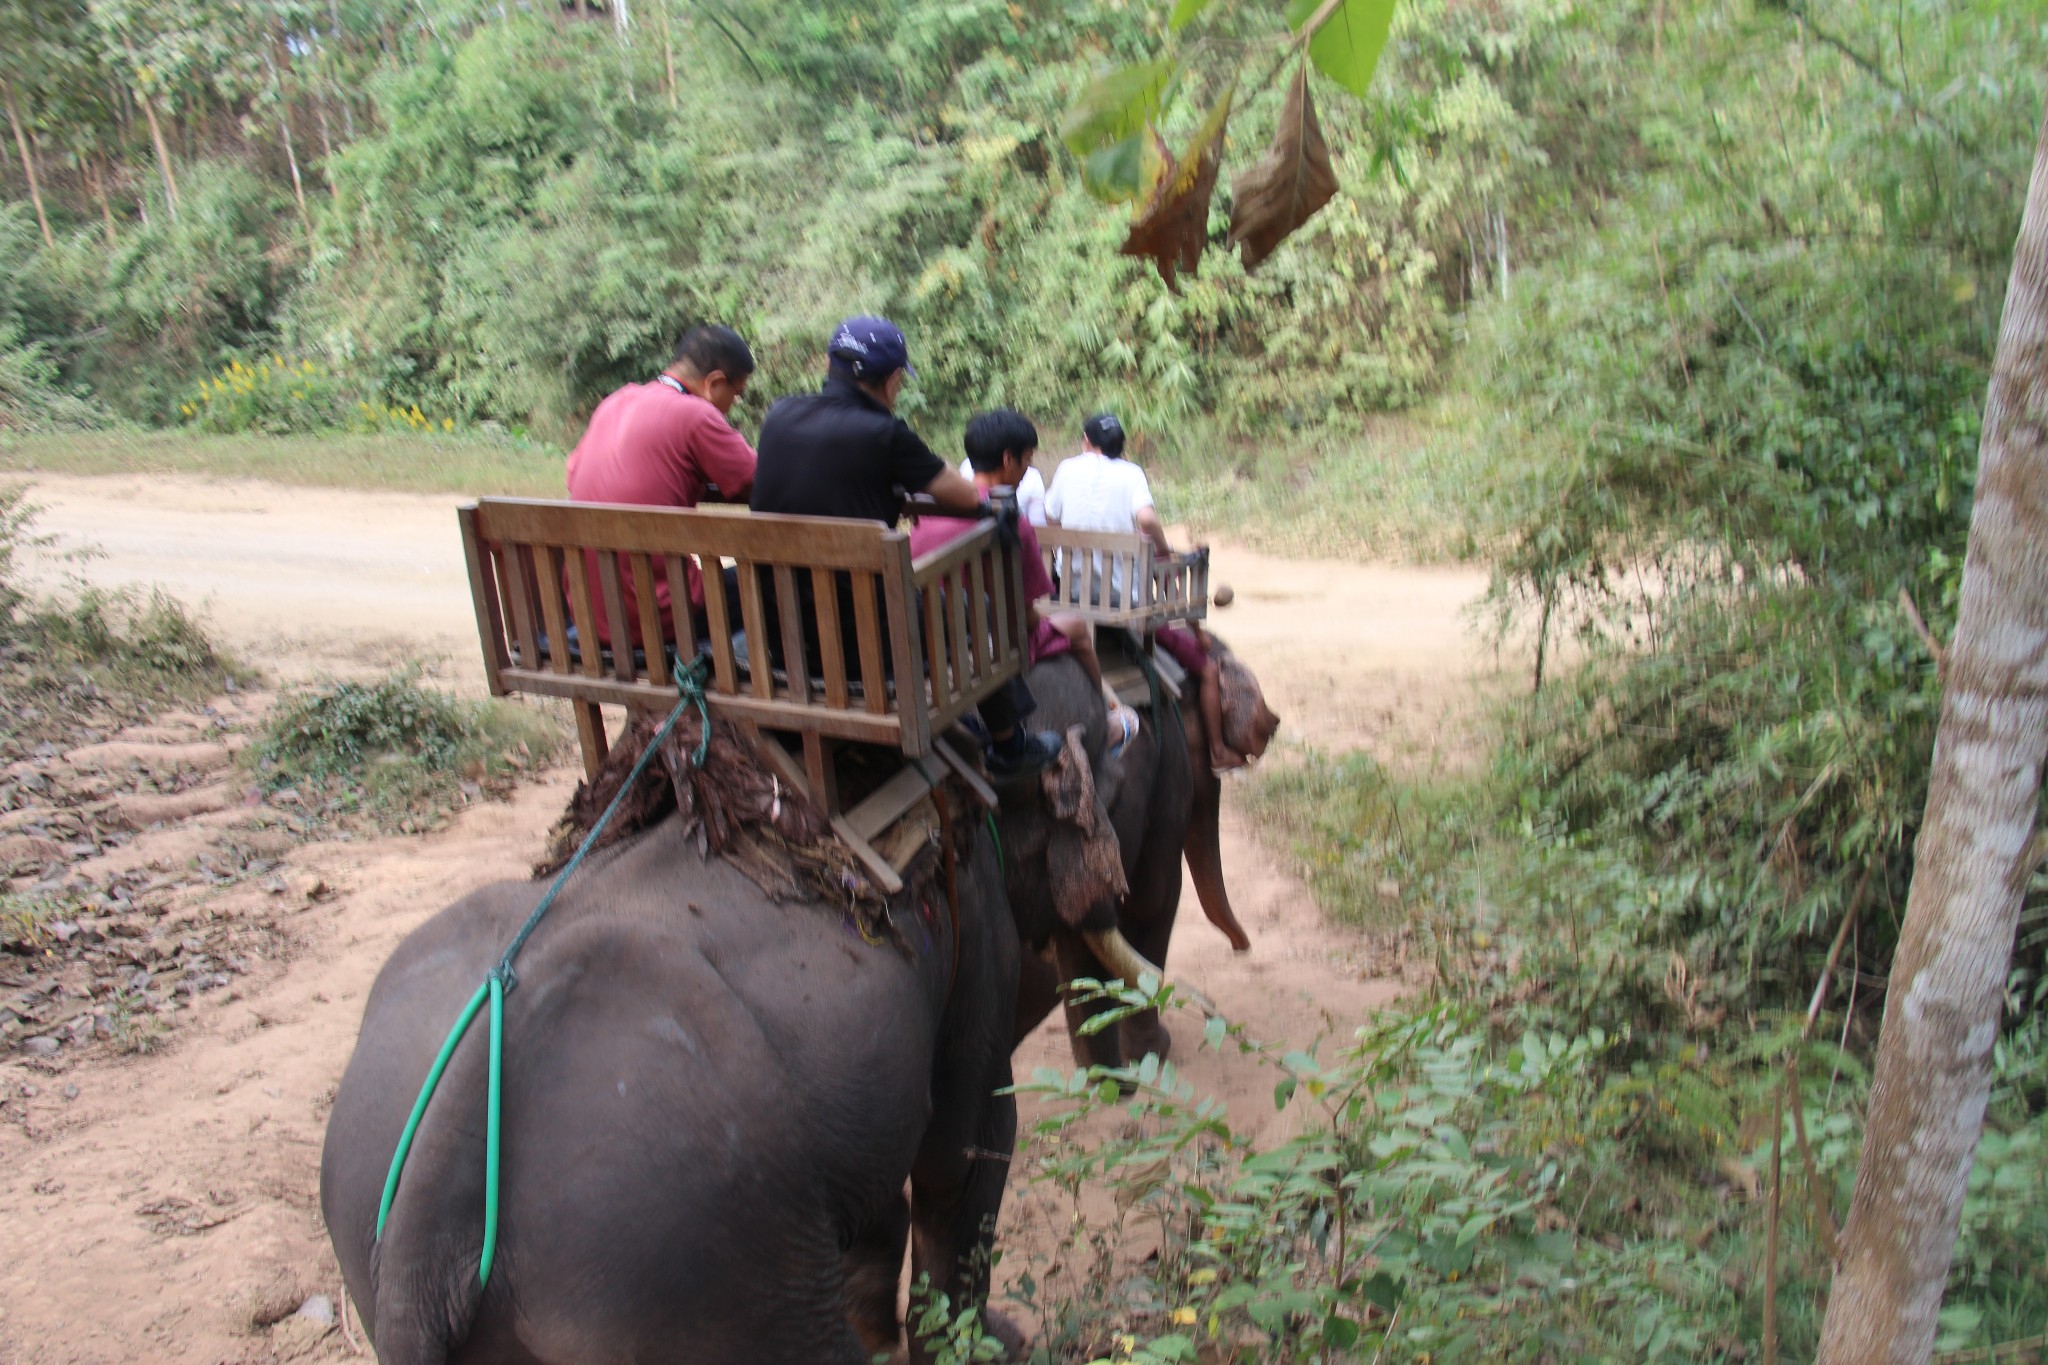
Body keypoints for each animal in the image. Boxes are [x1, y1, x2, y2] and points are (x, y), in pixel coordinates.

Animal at [321, 716, 1155, 1365]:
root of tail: (421, 1234)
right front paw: (998, 1342)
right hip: (699, 1256)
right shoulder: (968, 913)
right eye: (1106, 795)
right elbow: (966, 1148)